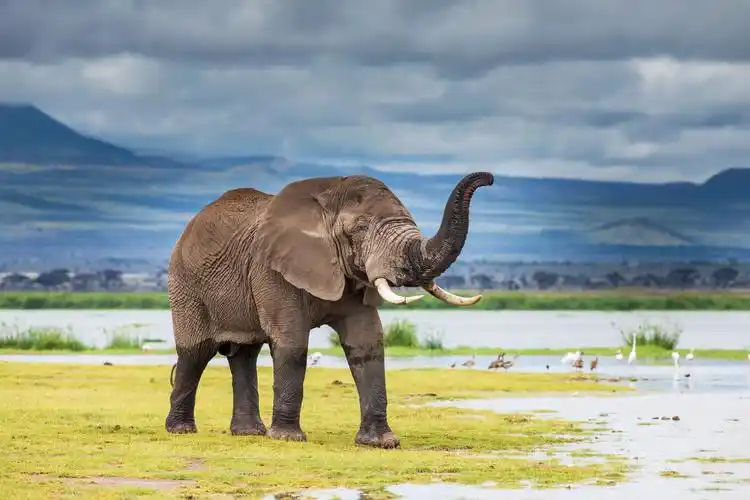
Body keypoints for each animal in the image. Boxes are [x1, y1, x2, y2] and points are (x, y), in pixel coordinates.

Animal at [165, 171, 494, 449]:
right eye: (360, 229)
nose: (489, 179)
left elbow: (367, 342)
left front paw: (381, 443)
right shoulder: (269, 268)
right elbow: (292, 341)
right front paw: (288, 439)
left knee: (244, 354)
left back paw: (248, 433)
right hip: (185, 284)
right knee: (196, 352)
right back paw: (181, 430)